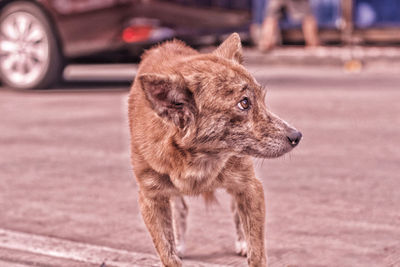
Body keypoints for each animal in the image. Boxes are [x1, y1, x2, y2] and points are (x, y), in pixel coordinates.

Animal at [130, 32, 302, 266]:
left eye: (262, 99)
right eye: (244, 103)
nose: (296, 136)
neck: (200, 157)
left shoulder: (250, 188)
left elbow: (257, 251)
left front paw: (248, 246)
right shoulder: (151, 199)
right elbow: (168, 253)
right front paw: (174, 249)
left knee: (235, 211)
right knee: (180, 210)